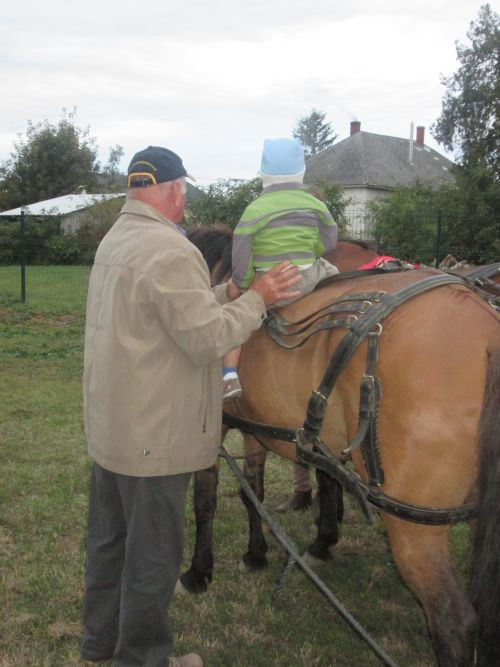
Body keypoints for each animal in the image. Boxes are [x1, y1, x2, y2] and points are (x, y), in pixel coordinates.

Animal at [183, 226, 500, 667]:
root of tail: (486, 333)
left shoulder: (213, 431)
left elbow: (206, 499)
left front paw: (198, 572)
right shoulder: (255, 429)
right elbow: (254, 494)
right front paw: (258, 553)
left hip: (413, 528)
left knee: (453, 621)